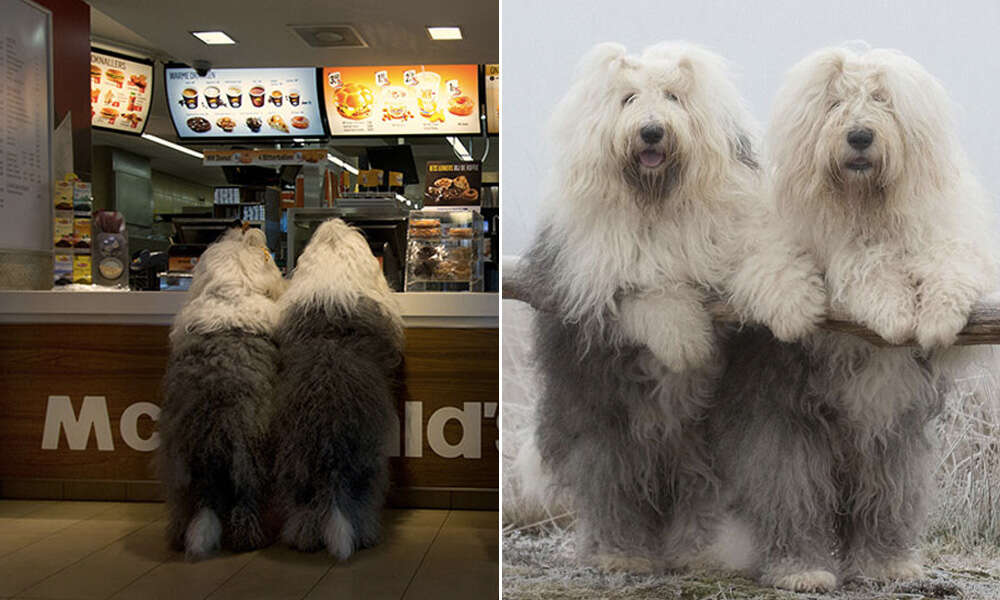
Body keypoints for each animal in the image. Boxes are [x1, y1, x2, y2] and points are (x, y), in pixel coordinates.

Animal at [516, 43, 828, 572]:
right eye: (627, 98)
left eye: (674, 97)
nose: (651, 131)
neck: (657, 202)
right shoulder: (594, 273)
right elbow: (650, 295)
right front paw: (684, 343)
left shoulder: (732, 233)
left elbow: (764, 257)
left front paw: (795, 305)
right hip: (601, 419)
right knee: (611, 488)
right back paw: (622, 553)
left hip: (707, 438)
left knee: (697, 488)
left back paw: (694, 549)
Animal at [712, 44, 1000, 592]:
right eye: (834, 102)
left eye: (884, 100)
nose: (860, 136)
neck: (864, 206)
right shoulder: (803, 244)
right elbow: (850, 265)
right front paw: (889, 309)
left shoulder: (948, 237)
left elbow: (950, 263)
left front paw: (934, 317)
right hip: (790, 429)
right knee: (792, 498)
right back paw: (802, 571)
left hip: (893, 437)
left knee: (885, 497)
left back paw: (886, 563)